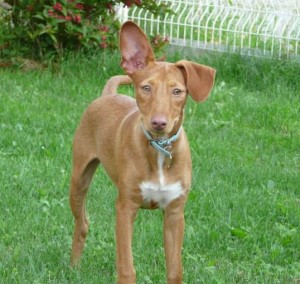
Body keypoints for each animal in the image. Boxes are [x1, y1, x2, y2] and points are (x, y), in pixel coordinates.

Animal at [70, 21, 216, 282]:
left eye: (177, 92)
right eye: (146, 88)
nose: (159, 123)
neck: (159, 150)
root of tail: (108, 95)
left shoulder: (175, 213)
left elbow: (175, 270)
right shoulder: (125, 207)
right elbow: (127, 267)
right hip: (79, 178)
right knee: (83, 222)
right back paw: (74, 267)